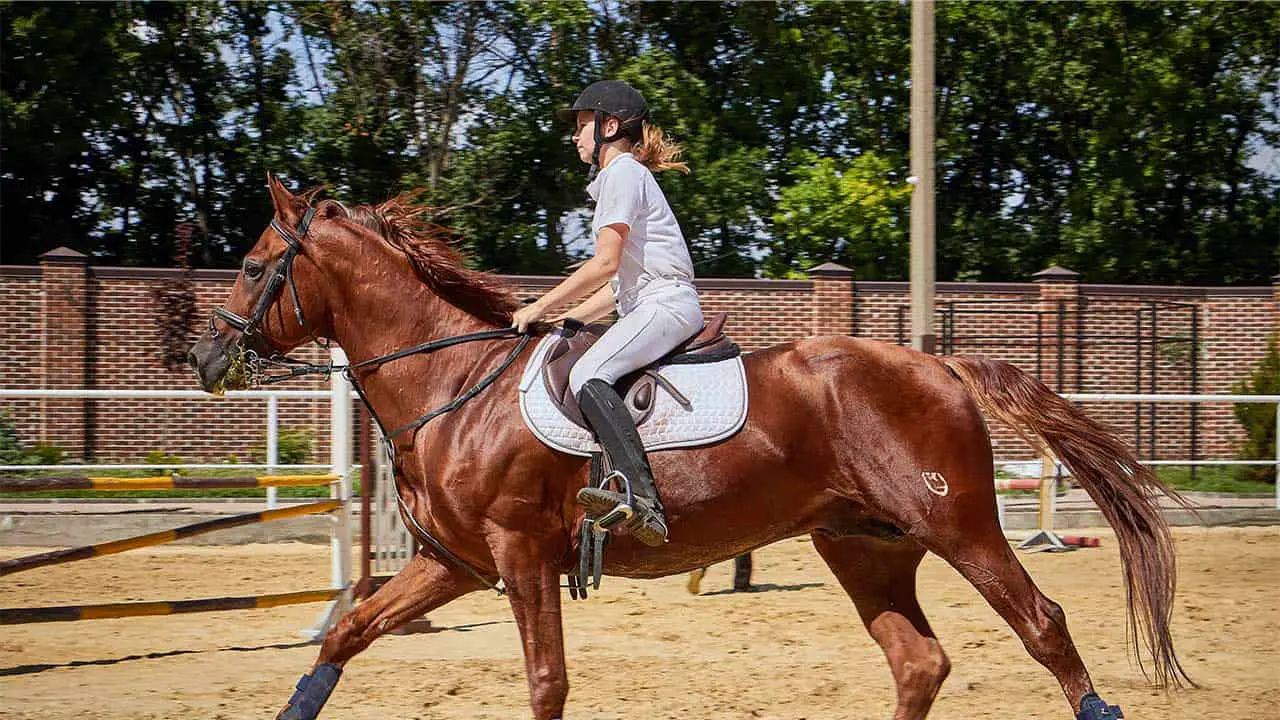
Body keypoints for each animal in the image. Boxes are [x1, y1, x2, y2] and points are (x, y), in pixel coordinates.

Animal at [188, 176, 1191, 720]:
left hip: (960, 525)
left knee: (1043, 625)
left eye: (251, 265)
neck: (453, 384)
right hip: (863, 546)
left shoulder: (520, 556)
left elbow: (546, 682)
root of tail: (936, 362)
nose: (203, 357)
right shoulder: (457, 564)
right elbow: (348, 631)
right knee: (919, 662)